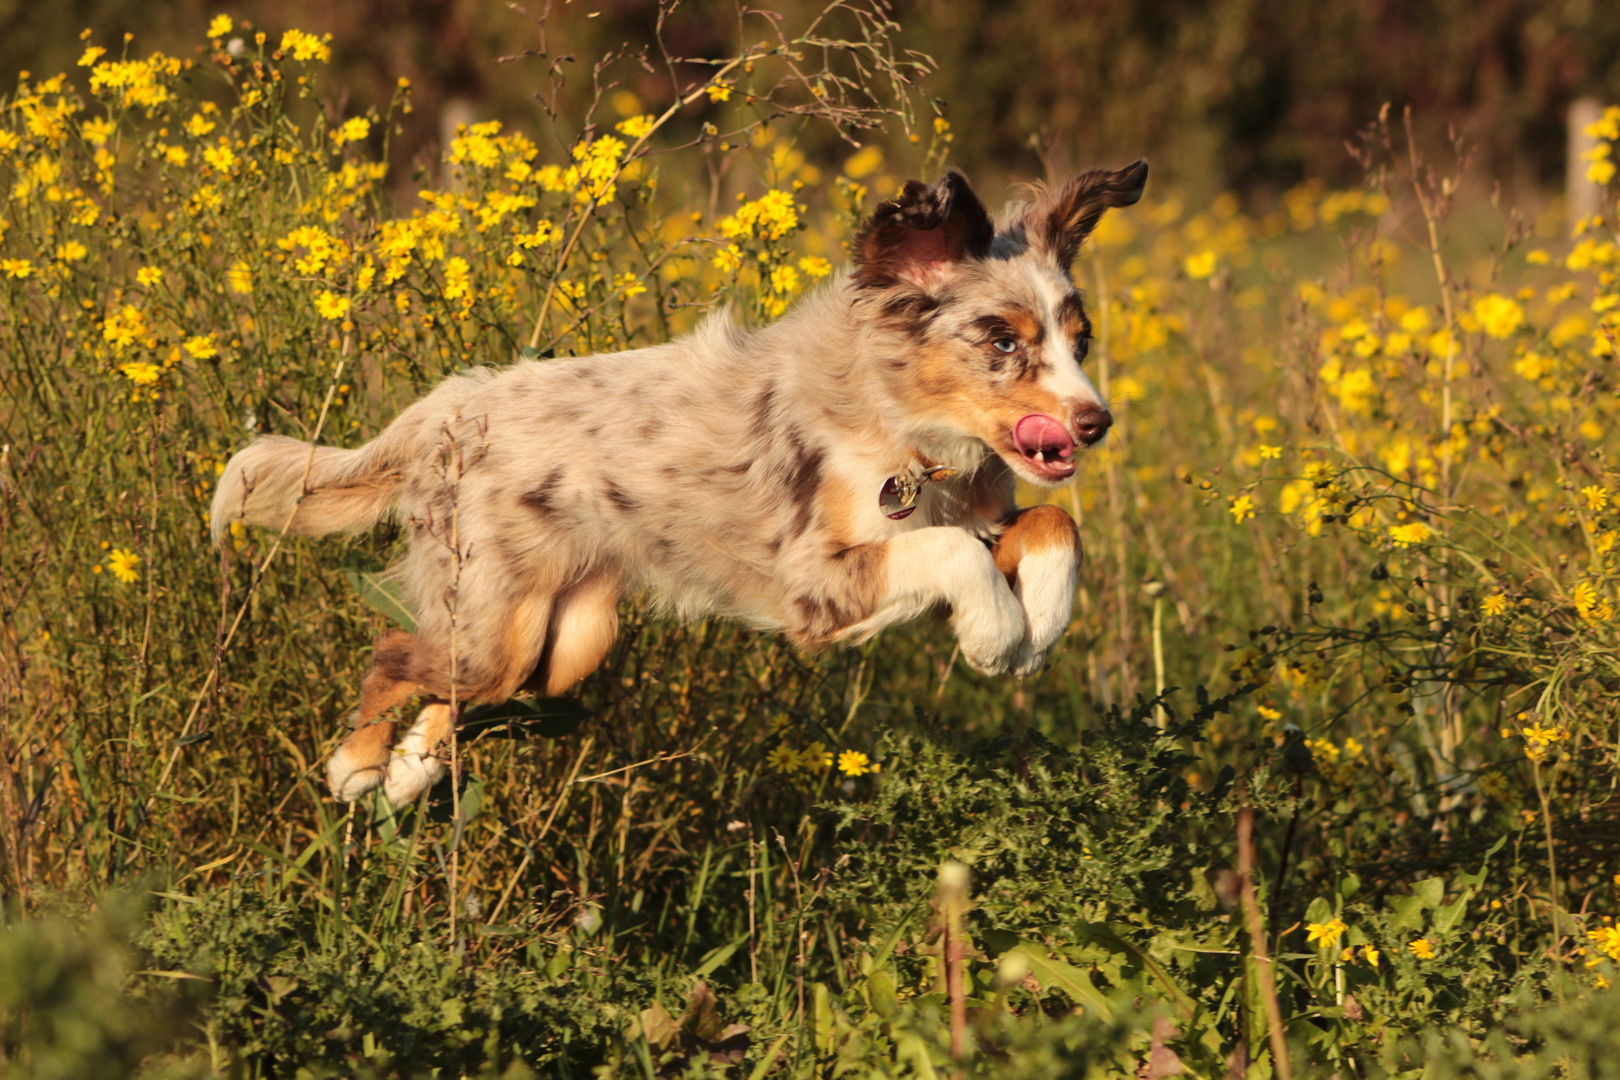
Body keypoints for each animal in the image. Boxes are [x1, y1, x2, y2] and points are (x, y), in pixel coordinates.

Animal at [215, 158, 1146, 803]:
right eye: (1002, 341)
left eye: (1081, 339)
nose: (1096, 421)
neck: (909, 435)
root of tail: (450, 403)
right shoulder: (816, 582)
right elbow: (956, 555)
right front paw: (997, 635)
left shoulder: (972, 517)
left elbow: (1051, 526)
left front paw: (1042, 621)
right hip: (500, 620)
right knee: (396, 651)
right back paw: (356, 766)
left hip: (562, 644)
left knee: (455, 680)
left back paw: (411, 769)